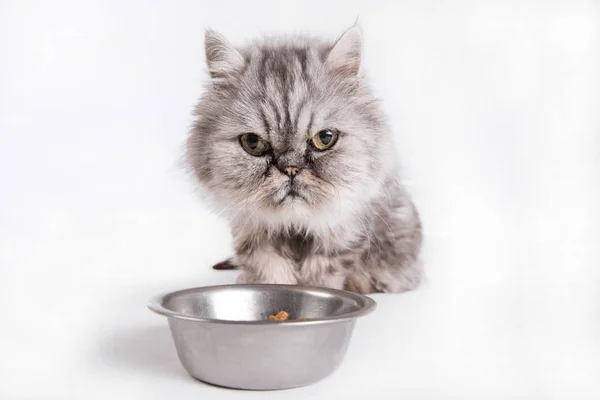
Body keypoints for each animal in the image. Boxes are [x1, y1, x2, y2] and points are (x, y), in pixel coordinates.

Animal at [188, 24, 422, 294]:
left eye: (325, 138)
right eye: (253, 143)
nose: (290, 169)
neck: (294, 226)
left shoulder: (343, 233)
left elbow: (323, 273)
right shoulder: (253, 234)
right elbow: (268, 271)